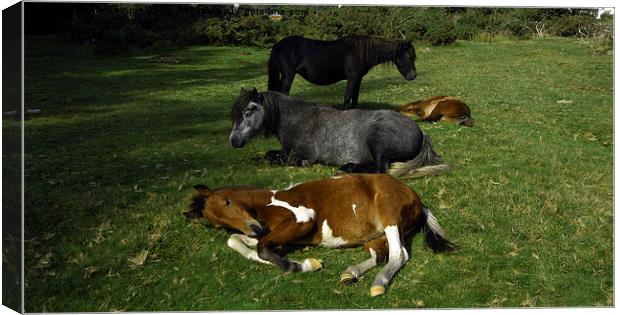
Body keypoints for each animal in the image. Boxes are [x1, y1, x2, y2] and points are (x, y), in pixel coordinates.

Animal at [182, 174, 452, 298]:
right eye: (218, 223)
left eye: (228, 201)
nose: (254, 228)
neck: (268, 203)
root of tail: (415, 196)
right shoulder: (270, 232)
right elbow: (238, 241)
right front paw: (301, 263)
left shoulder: (304, 218)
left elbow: (262, 247)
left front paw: (296, 266)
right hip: (376, 234)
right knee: (380, 255)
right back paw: (350, 273)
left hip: (389, 217)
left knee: (399, 254)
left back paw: (378, 284)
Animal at [230, 89, 448, 178]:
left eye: (248, 111)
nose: (233, 141)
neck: (297, 119)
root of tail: (421, 133)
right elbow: (269, 154)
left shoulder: (298, 156)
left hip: (377, 140)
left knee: (379, 168)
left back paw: (346, 169)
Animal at [266, 35, 416, 110]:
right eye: (409, 56)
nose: (413, 76)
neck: (362, 52)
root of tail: (277, 45)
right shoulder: (352, 78)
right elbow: (348, 97)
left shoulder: (358, 79)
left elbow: (355, 97)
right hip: (288, 75)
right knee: (283, 93)